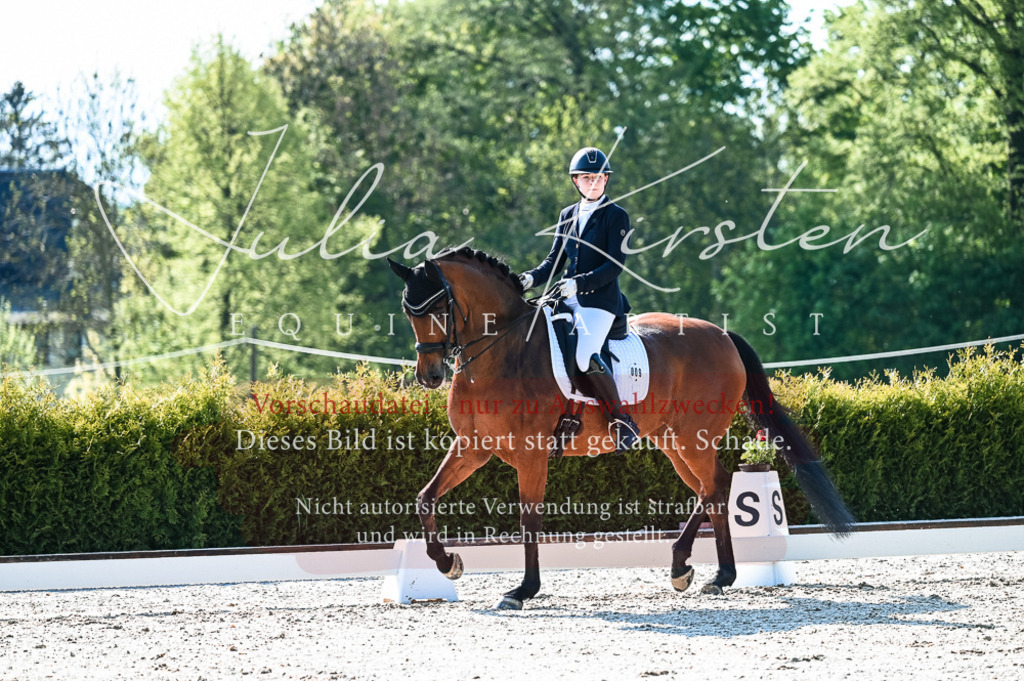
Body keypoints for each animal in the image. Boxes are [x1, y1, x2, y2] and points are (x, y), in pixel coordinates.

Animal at [387, 247, 854, 610]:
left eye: (436, 309)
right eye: (409, 312)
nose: (429, 375)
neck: (502, 350)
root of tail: (722, 335)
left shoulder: (531, 453)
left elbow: (528, 519)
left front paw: (523, 590)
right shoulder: (473, 446)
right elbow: (425, 498)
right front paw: (448, 563)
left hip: (693, 437)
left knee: (715, 484)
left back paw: (692, 567)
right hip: (672, 441)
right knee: (712, 487)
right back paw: (711, 573)